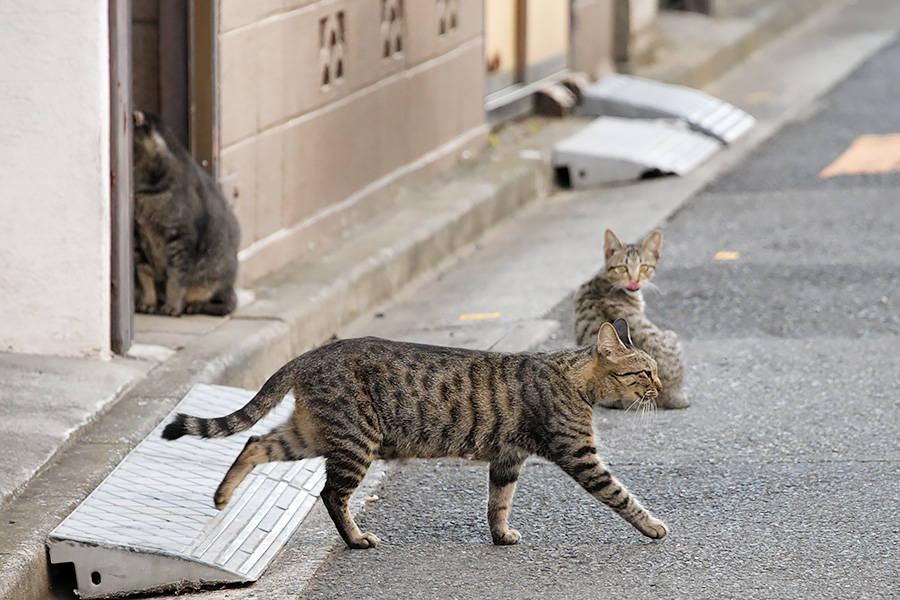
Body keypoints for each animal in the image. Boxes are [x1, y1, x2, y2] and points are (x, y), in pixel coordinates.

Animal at [131, 109, 239, 316]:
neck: (143, 190)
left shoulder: (180, 236)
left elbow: (176, 277)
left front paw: (172, 306)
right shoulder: (137, 236)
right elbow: (144, 273)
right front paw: (148, 302)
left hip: (217, 277)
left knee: (226, 302)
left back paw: (191, 305)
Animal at [162, 322, 668, 552]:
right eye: (645, 372)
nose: (662, 388)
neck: (573, 379)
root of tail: (312, 353)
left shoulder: (507, 460)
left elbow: (498, 503)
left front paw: (501, 535)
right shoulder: (578, 453)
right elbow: (622, 495)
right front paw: (653, 526)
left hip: (308, 435)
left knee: (252, 443)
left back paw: (222, 497)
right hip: (356, 441)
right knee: (331, 494)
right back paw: (356, 538)